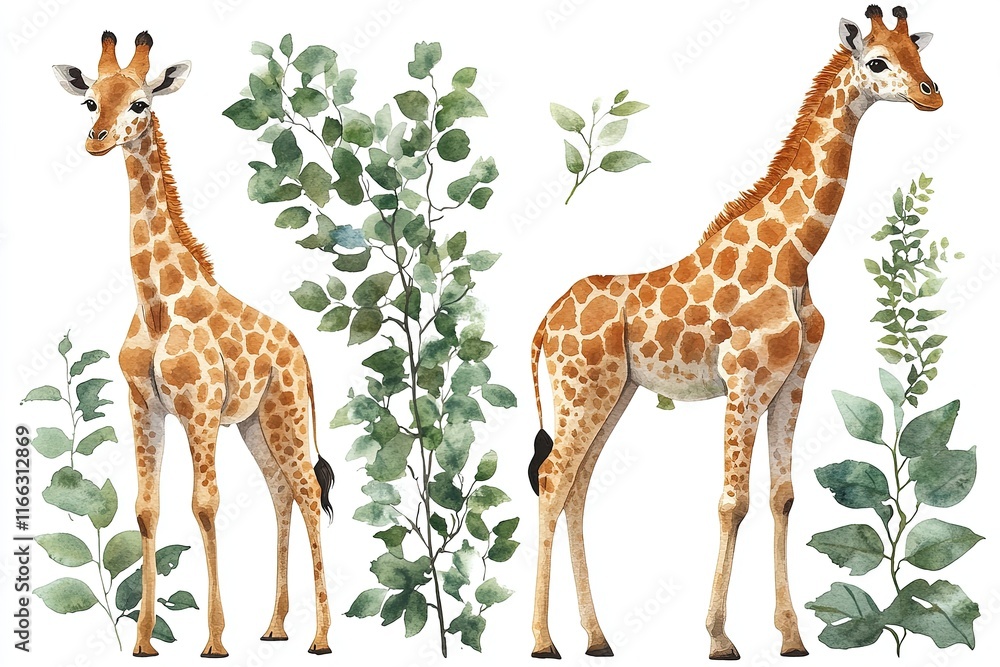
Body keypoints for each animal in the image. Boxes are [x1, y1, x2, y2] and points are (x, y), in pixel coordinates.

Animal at [53, 32, 335, 658]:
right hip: (255, 425)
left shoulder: (199, 408)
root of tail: (304, 355)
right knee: (281, 493)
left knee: (308, 494)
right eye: (90, 101)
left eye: (140, 103)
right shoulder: (144, 405)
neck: (157, 303)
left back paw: (321, 637)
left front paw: (214, 640)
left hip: (285, 415)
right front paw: (143, 642)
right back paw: (275, 627)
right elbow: (146, 509)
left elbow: (205, 505)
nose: (96, 139)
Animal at [527, 6, 940, 660]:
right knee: (552, 479)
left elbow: (782, 497)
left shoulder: (791, 380)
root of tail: (547, 320)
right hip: (582, 389)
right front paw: (720, 637)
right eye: (877, 61)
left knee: (578, 485)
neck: (794, 256)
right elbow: (733, 501)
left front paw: (792, 637)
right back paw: (544, 641)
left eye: (918, 53)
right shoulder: (744, 381)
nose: (932, 94)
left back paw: (596, 638)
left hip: (614, 392)